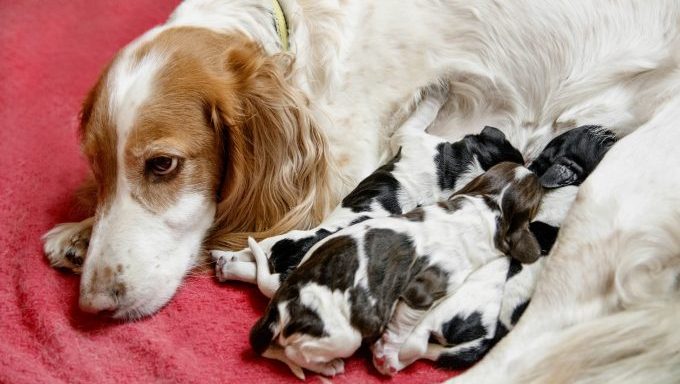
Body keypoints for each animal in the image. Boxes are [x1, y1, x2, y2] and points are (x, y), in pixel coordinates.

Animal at [211, 91, 520, 296]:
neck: (456, 171)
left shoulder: (409, 134)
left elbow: (423, 111)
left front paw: (437, 91)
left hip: (281, 240)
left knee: (253, 257)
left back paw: (222, 259)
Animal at [247, 161, 540, 378]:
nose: (535, 171)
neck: (489, 204)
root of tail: (279, 307)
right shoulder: (423, 289)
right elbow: (402, 326)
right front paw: (386, 354)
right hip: (344, 337)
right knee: (296, 353)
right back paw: (328, 366)